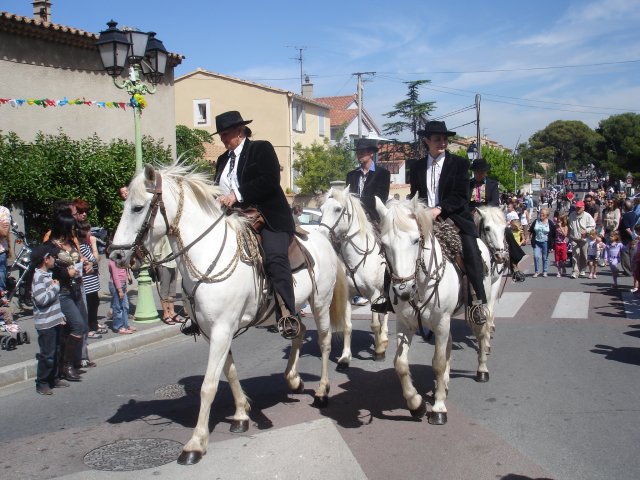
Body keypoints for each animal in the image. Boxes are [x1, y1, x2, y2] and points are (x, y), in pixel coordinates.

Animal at [110, 165, 350, 464]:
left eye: (138, 207)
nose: (115, 255)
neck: (207, 255)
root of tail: (323, 238)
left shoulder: (222, 329)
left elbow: (209, 385)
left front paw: (196, 443)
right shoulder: (211, 331)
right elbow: (230, 371)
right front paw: (241, 414)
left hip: (320, 302)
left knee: (324, 341)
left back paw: (322, 390)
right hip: (292, 308)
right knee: (299, 331)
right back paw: (293, 379)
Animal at [320, 188, 390, 360]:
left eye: (338, 209)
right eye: (322, 209)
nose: (321, 234)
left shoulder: (375, 294)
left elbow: (375, 324)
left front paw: (379, 350)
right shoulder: (348, 295)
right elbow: (347, 326)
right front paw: (345, 355)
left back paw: (384, 338)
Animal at [376, 195, 496, 424]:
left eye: (416, 240)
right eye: (384, 244)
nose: (403, 291)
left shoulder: (441, 322)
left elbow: (438, 362)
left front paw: (439, 408)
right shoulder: (405, 324)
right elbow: (400, 363)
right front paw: (416, 405)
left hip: (478, 305)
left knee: (481, 332)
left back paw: (483, 370)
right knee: (449, 344)